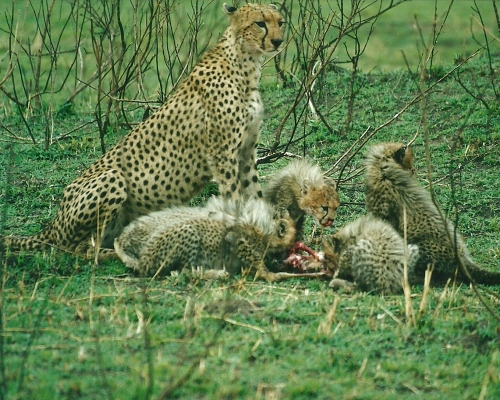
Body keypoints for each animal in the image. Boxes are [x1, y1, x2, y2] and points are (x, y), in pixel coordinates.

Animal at [4, 3, 286, 260]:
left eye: (280, 22)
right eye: (260, 23)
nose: (278, 40)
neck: (246, 63)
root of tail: (52, 225)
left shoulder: (246, 152)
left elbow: (255, 194)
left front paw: (266, 233)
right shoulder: (222, 154)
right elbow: (235, 196)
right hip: (111, 178)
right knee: (82, 249)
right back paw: (118, 253)